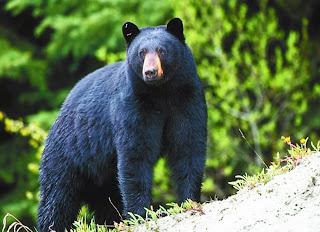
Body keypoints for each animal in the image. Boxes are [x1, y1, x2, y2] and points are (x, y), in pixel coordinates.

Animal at [37, 18, 208, 232]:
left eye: (162, 50)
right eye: (141, 52)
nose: (150, 72)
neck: (161, 93)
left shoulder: (187, 100)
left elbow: (188, 146)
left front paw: (189, 201)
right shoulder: (132, 106)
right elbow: (135, 155)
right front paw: (142, 214)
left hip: (102, 176)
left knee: (106, 201)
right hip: (69, 154)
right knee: (57, 196)